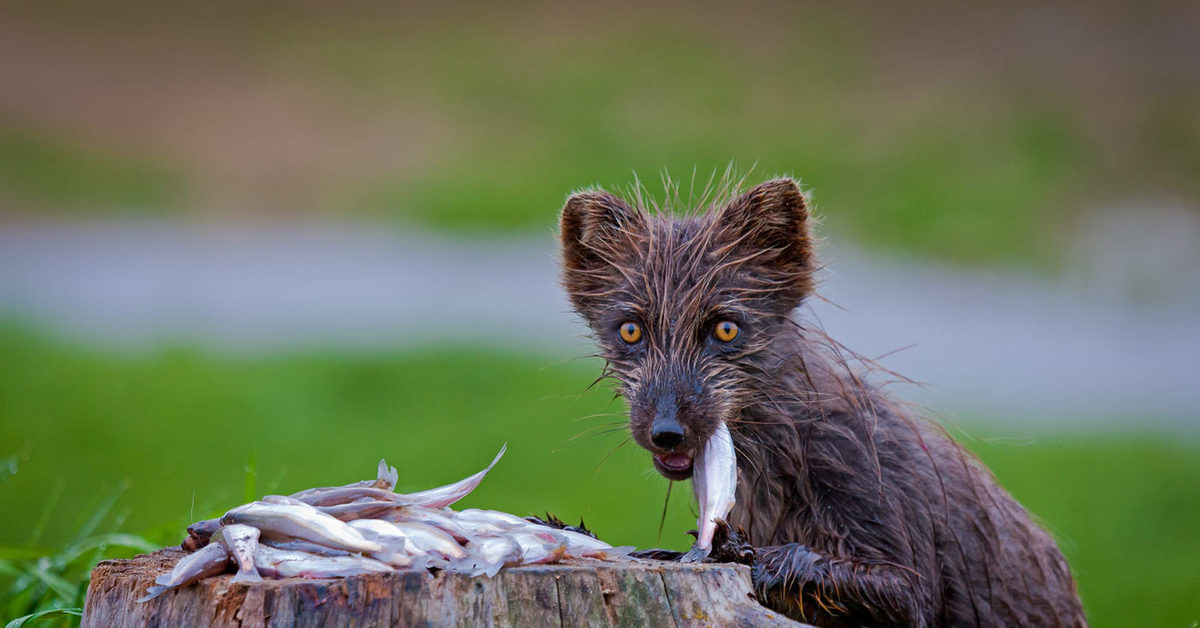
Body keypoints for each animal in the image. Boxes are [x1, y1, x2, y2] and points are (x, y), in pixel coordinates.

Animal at [556, 177, 1094, 628]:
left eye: (726, 328)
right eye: (630, 329)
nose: (667, 430)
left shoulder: (885, 516)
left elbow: (897, 593)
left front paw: (745, 555)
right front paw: (663, 553)